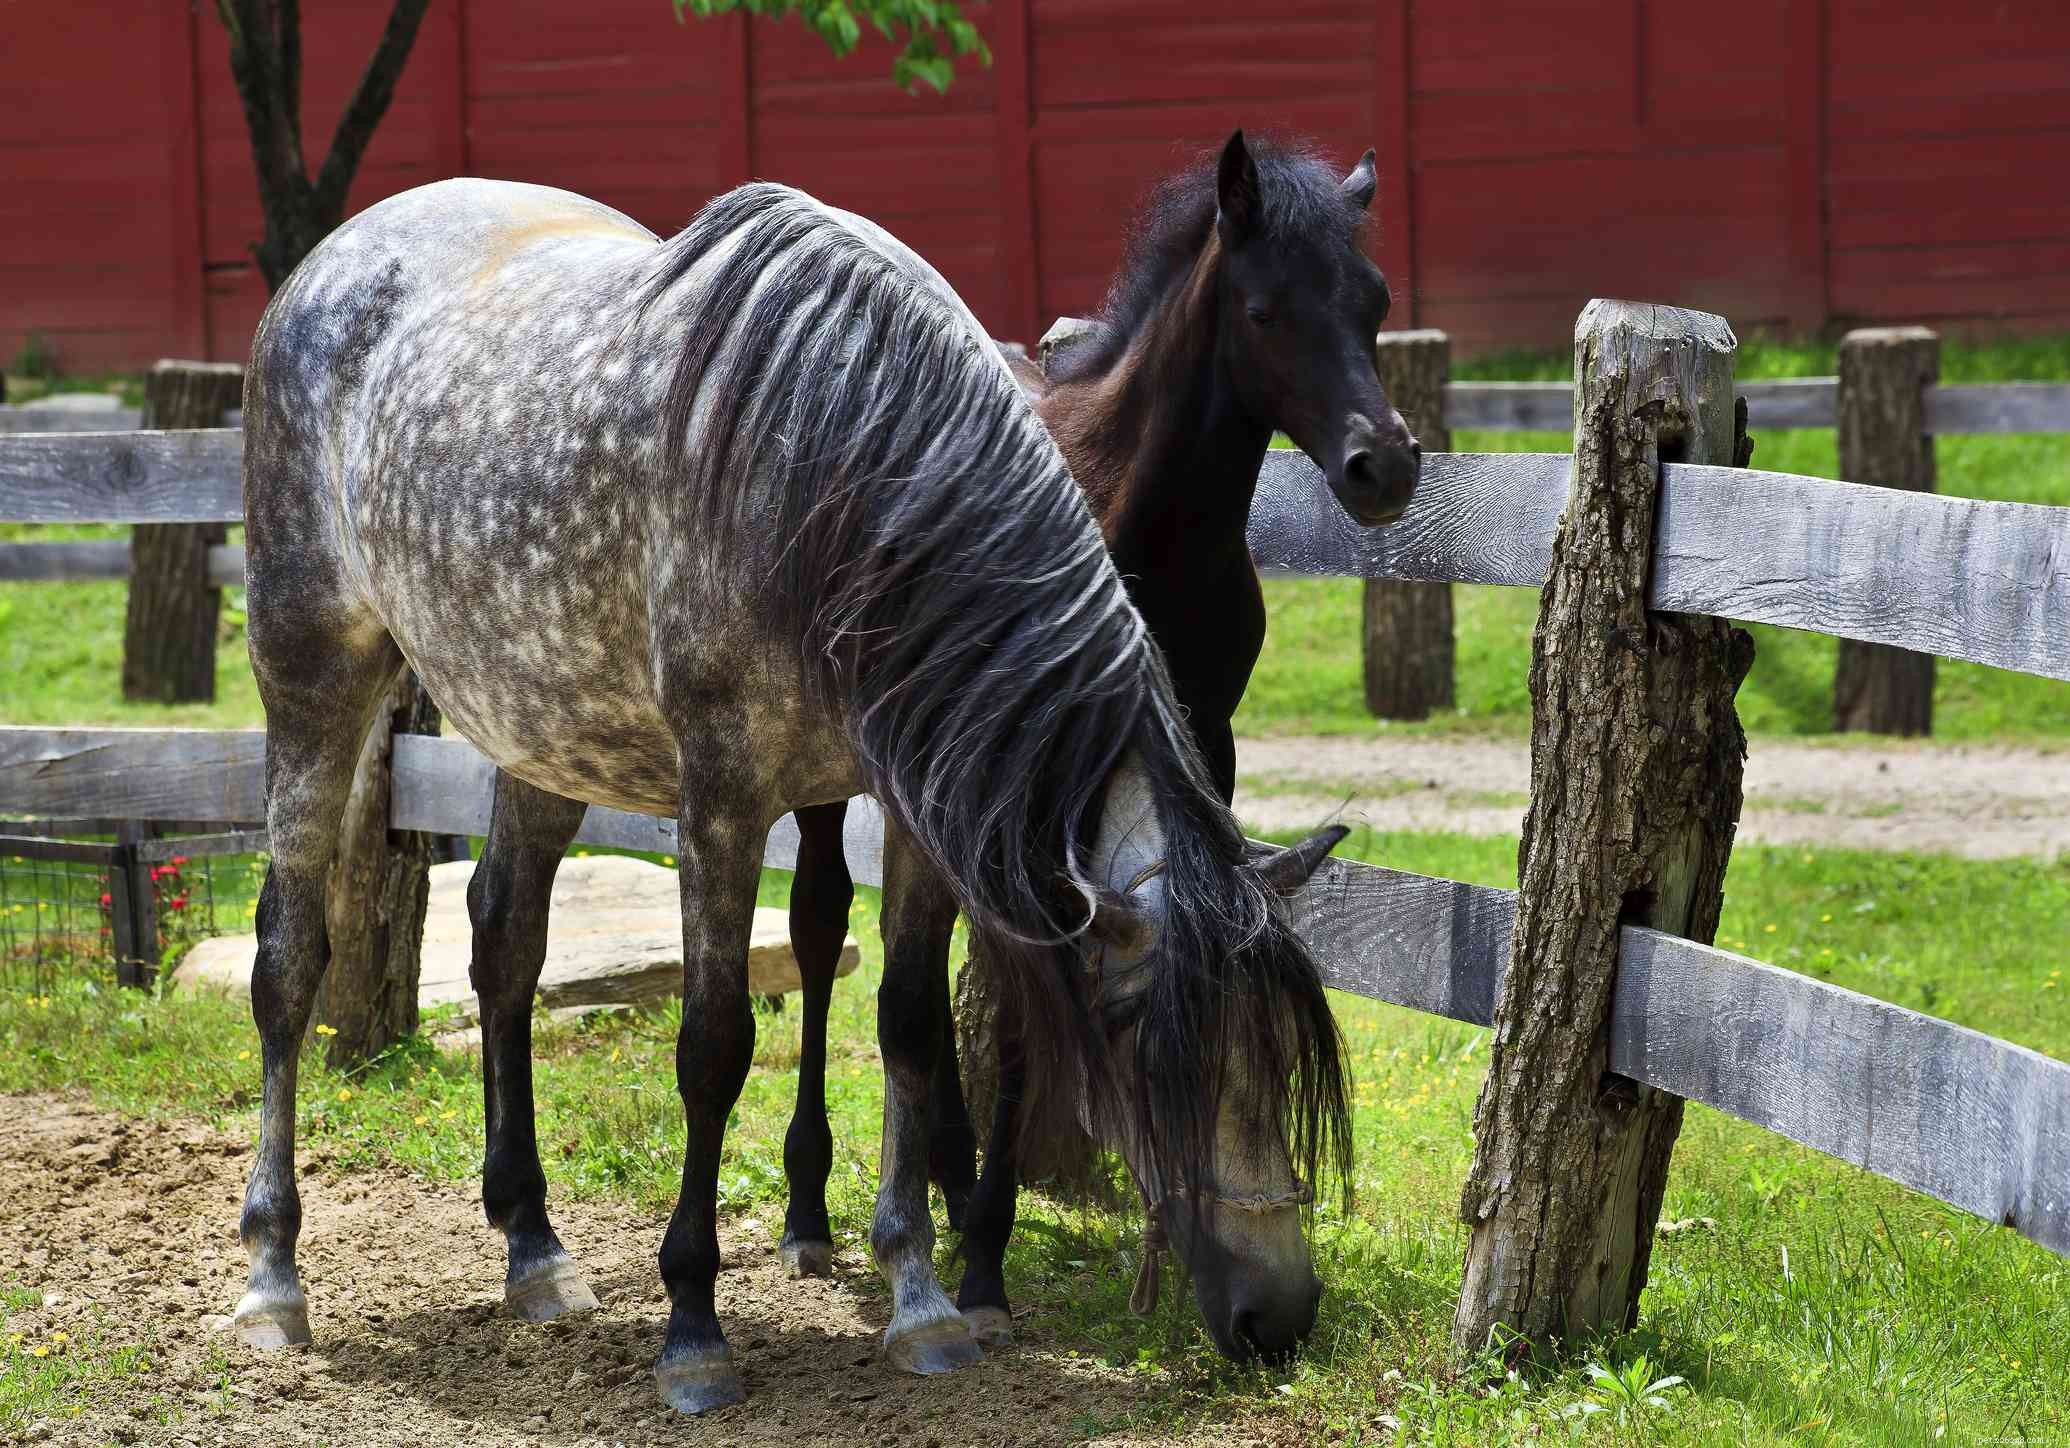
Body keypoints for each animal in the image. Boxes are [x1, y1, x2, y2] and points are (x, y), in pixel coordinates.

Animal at [229, 174, 1352, 1415]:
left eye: (1283, 1055)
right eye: (1157, 1051)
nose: (1278, 1315)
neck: (839, 468)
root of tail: (334, 259)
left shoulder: (911, 808)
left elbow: (908, 1024)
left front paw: (921, 1297)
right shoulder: (722, 798)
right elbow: (713, 1046)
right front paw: (694, 1325)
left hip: (548, 727)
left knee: (506, 943)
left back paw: (534, 1248)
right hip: (313, 673)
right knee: (289, 956)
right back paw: (274, 1276)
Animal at [776, 131, 1421, 1357]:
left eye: (1374, 301)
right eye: (1264, 309)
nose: (1386, 466)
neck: (1146, 523)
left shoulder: (1194, 751)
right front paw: (980, 1265)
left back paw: (949, 1171)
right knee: (824, 924)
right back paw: (816, 1208)